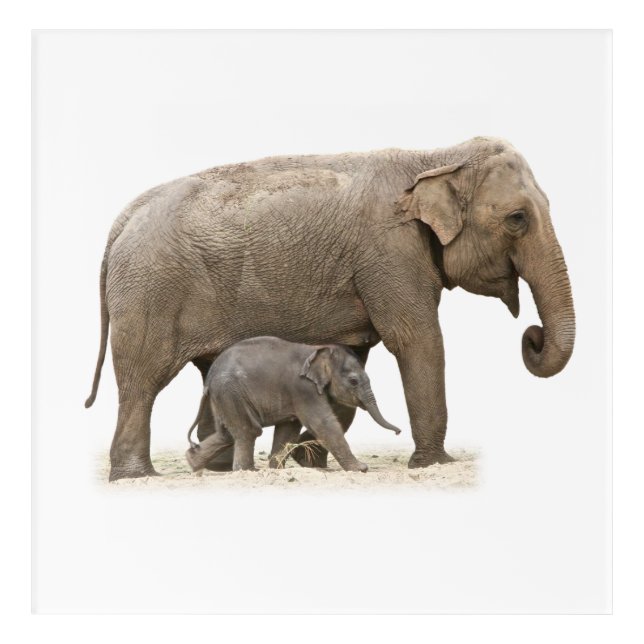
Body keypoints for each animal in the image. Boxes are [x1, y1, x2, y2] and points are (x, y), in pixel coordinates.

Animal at [183, 336, 401, 473]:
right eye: (354, 381)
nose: (399, 432)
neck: (319, 349)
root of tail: (209, 380)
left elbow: (288, 429)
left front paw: (276, 470)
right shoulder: (303, 389)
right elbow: (323, 423)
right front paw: (361, 469)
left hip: (224, 396)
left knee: (227, 433)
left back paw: (193, 464)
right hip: (231, 392)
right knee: (248, 430)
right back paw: (247, 471)